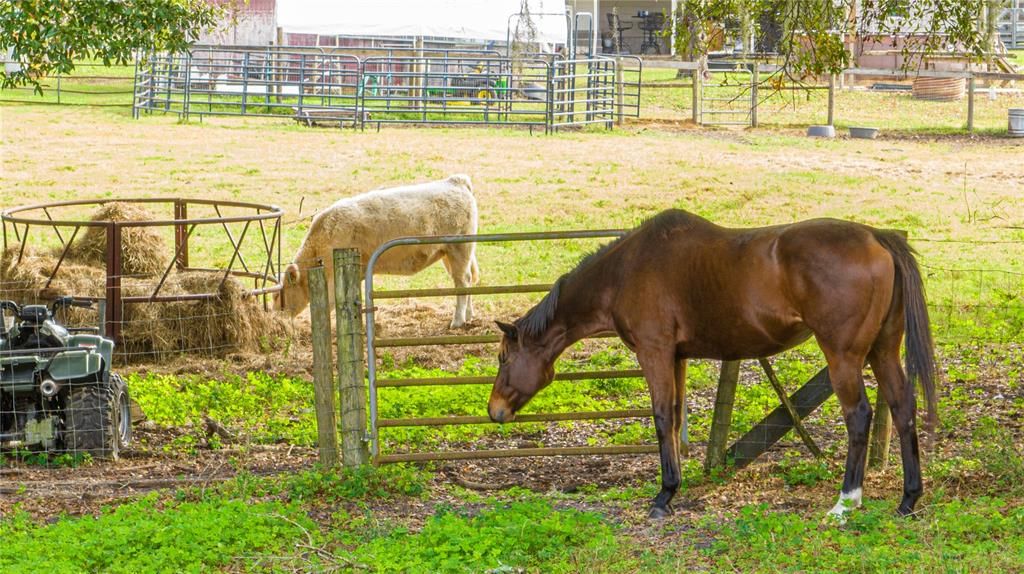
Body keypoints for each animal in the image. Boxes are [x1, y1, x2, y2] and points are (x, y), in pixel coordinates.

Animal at [278, 173, 481, 327]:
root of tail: (456, 181)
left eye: (280, 295)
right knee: (468, 280)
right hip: (452, 254)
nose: (275, 317)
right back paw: (469, 315)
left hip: (459, 249)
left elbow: (330, 304)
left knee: (462, 282)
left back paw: (457, 321)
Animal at [487, 209, 937, 519]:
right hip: (882, 351)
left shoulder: (654, 353)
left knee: (859, 415)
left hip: (843, 357)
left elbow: (660, 417)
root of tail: (876, 236)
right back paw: (908, 499)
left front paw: (664, 495)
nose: (495, 411)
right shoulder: (676, 357)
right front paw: (674, 487)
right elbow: (674, 417)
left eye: (504, 357)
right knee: (902, 408)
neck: (626, 270)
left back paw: (846, 502)